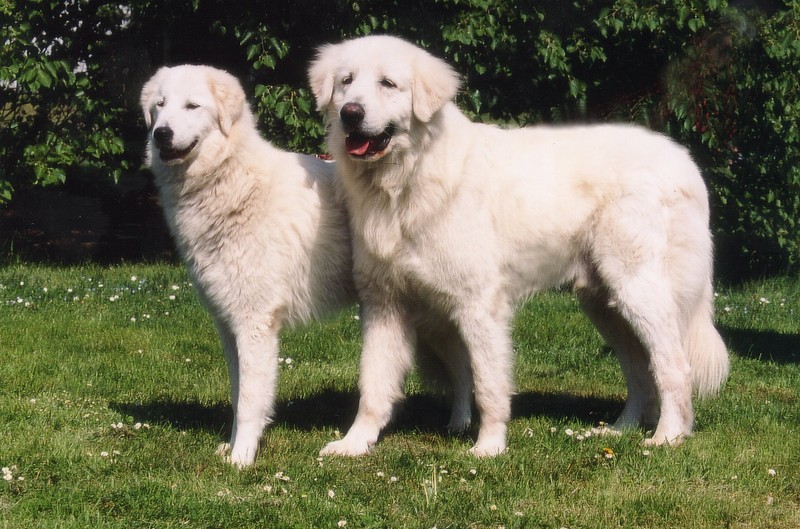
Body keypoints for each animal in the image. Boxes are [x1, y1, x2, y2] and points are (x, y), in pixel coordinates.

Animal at [141, 64, 356, 464]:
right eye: (160, 106)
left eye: (192, 106)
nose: (161, 133)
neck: (233, 181)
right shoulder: (228, 325)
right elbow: (237, 392)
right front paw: (231, 447)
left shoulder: (255, 323)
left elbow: (249, 400)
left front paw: (242, 460)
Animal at [308, 35, 732, 456]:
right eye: (346, 81)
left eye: (388, 84)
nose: (350, 113)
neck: (407, 178)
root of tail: (683, 160)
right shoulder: (384, 304)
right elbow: (373, 384)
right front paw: (354, 444)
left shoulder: (478, 305)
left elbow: (488, 385)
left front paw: (489, 448)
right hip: (604, 304)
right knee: (640, 371)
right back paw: (619, 431)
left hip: (639, 290)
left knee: (672, 365)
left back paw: (668, 436)